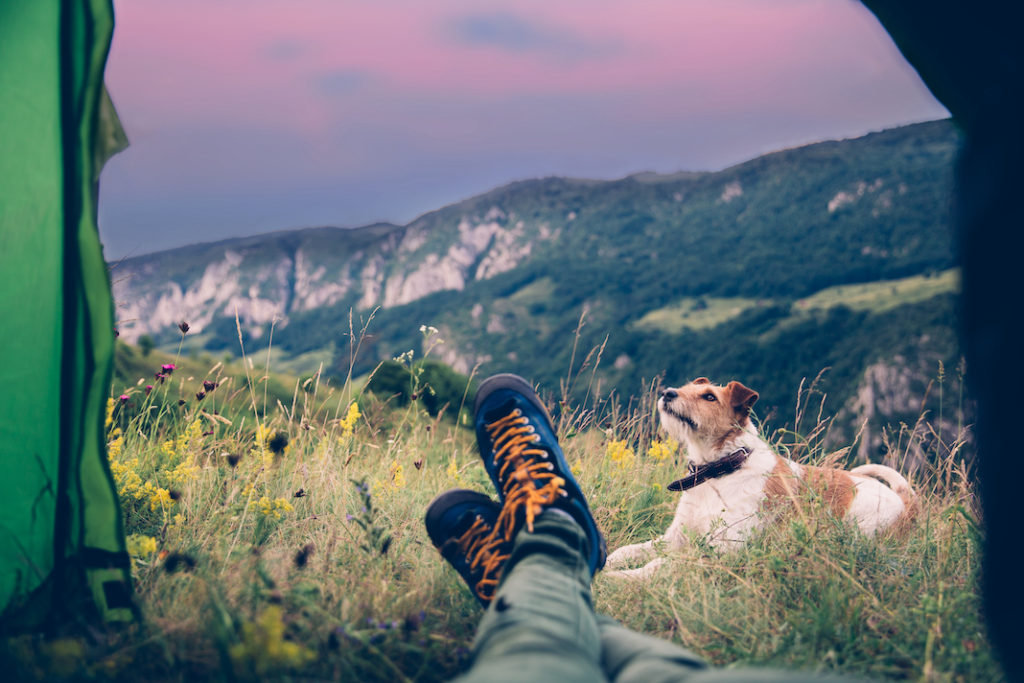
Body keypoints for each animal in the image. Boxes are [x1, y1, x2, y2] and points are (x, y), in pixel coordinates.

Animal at [602, 378, 917, 577]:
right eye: (687, 387)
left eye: (709, 396)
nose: (667, 392)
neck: (719, 469)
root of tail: (905, 502)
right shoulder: (674, 537)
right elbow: (629, 551)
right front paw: (608, 563)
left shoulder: (724, 550)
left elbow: (660, 565)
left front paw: (621, 580)